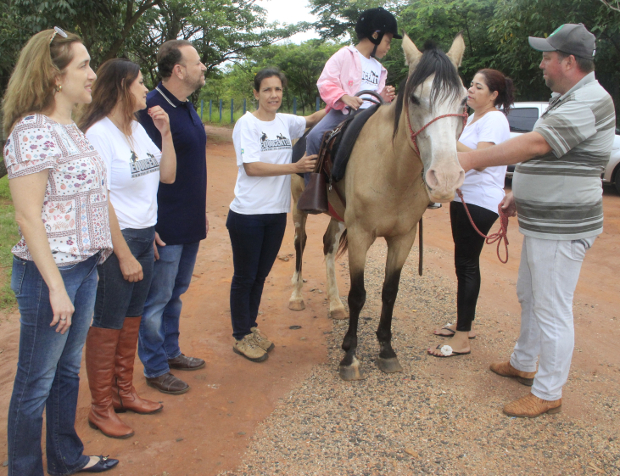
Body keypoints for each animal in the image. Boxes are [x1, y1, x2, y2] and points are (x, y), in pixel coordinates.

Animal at [290, 34, 464, 380]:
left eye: (464, 101)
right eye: (415, 98)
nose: (446, 178)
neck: (393, 171)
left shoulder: (403, 238)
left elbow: (389, 291)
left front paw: (386, 349)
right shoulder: (360, 235)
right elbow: (359, 294)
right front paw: (349, 356)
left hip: (338, 216)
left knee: (327, 245)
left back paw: (334, 304)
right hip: (299, 207)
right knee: (300, 243)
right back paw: (297, 296)